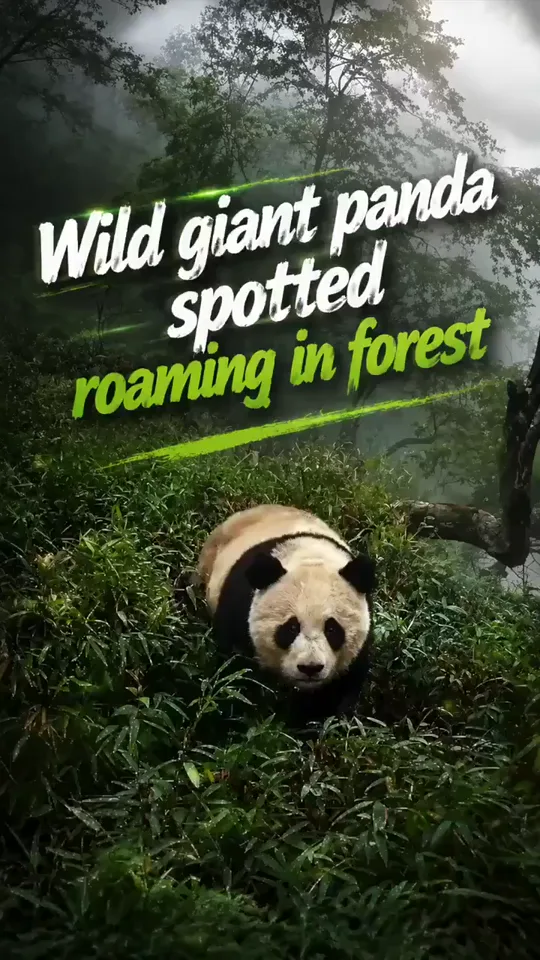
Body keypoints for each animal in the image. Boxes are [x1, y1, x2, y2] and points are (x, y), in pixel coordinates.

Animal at [196, 503, 376, 724]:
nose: (310, 667)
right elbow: (235, 672)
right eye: (291, 627)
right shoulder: (238, 607)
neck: (311, 557)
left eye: (332, 629)